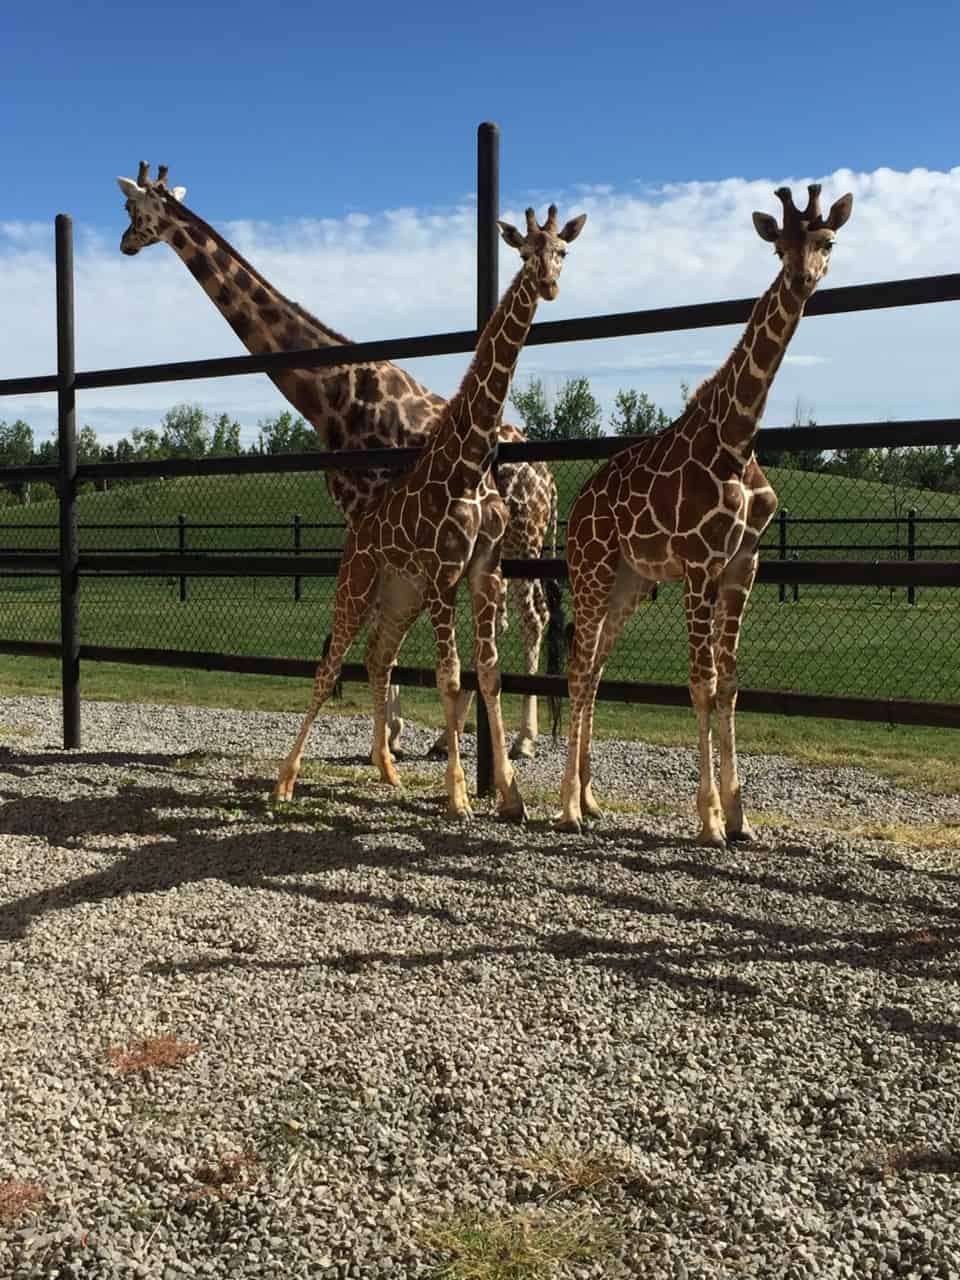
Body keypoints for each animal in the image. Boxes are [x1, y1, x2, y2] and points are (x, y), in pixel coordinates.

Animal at [116, 160, 560, 757]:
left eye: (131, 209)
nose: (124, 243)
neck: (327, 392)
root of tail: (549, 474)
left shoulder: (365, 505)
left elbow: (375, 613)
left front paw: (389, 734)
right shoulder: (367, 517)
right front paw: (393, 732)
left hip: (524, 534)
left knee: (532, 615)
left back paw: (523, 741)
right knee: (516, 615)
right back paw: (457, 738)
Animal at [271, 203, 586, 814]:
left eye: (563, 250)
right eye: (524, 252)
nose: (550, 284)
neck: (469, 460)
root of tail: (358, 531)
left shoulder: (483, 569)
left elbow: (487, 673)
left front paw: (509, 794)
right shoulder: (444, 572)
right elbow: (449, 676)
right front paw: (459, 795)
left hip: (400, 595)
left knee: (377, 654)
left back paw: (387, 768)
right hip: (360, 582)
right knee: (329, 665)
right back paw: (285, 781)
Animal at [560, 180, 855, 839]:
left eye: (826, 241)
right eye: (778, 247)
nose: (802, 279)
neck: (736, 440)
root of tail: (578, 505)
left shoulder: (743, 565)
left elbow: (732, 684)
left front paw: (741, 817)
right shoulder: (698, 564)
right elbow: (701, 683)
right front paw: (709, 819)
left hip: (628, 582)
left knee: (596, 669)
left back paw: (590, 800)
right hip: (592, 571)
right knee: (577, 666)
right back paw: (566, 808)